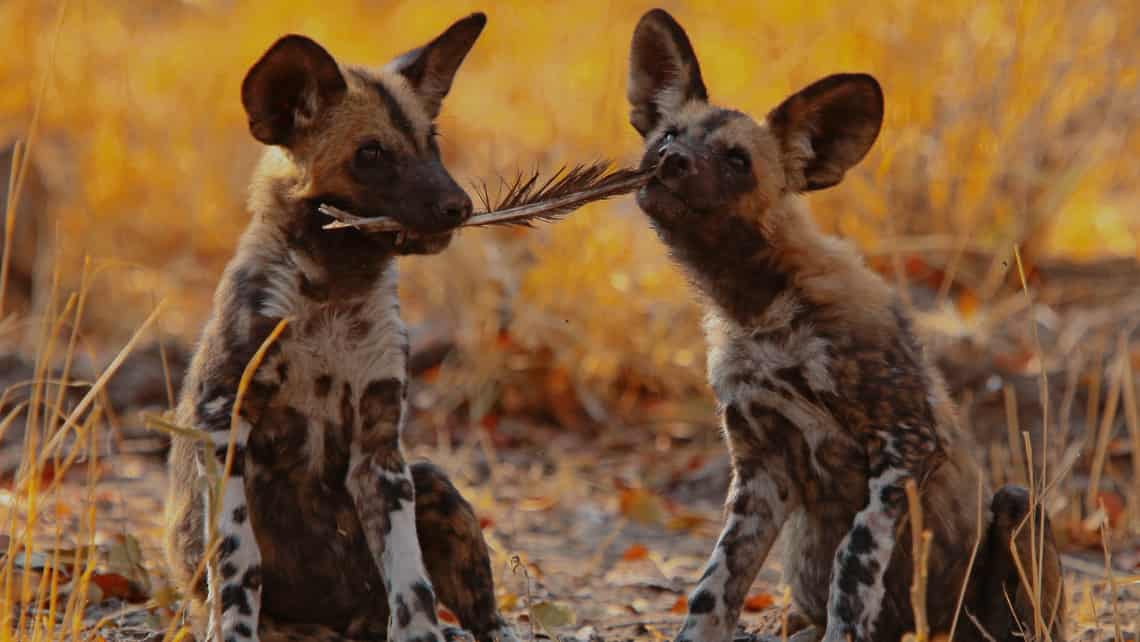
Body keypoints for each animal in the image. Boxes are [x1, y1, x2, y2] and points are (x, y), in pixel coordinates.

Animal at [166, 13, 522, 642]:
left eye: (431, 144)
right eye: (371, 153)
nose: (459, 206)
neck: (333, 288)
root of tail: (342, 628)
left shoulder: (380, 453)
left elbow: (411, 578)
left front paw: (421, 634)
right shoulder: (223, 428)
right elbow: (239, 564)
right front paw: (232, 628)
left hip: (432, 483)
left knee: (480, 611)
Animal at [629, 8, 1062, 642]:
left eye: (738, 161)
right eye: (667, 136)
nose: (671, 162)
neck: (760, 308)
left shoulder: (904, 448)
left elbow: (853, 565)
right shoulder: (760, 471)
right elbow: (714, 585)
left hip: (1013, 508)